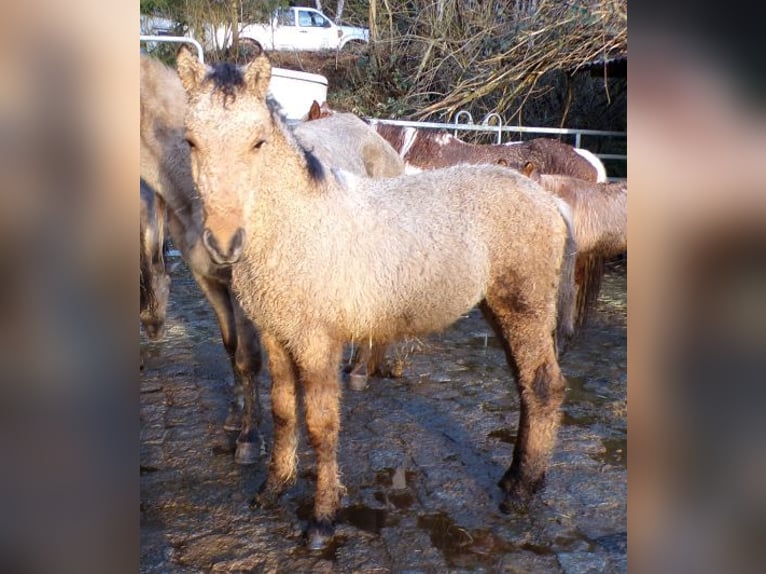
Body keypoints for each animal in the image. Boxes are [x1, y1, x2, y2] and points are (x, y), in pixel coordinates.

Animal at [176, 45, 577, 549]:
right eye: (191, 141)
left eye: (258, 142)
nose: (224, 242)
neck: (299, 224)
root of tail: (549, 200)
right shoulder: (275, 333)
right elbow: (284, 411)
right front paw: (272, 489)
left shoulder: (317, 342)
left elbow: (321, 424)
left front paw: (322, 520)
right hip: (499, 308)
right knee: (526, 385)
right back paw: (515, 478)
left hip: (523, 306)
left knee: (543, 386)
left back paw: (522, 491)